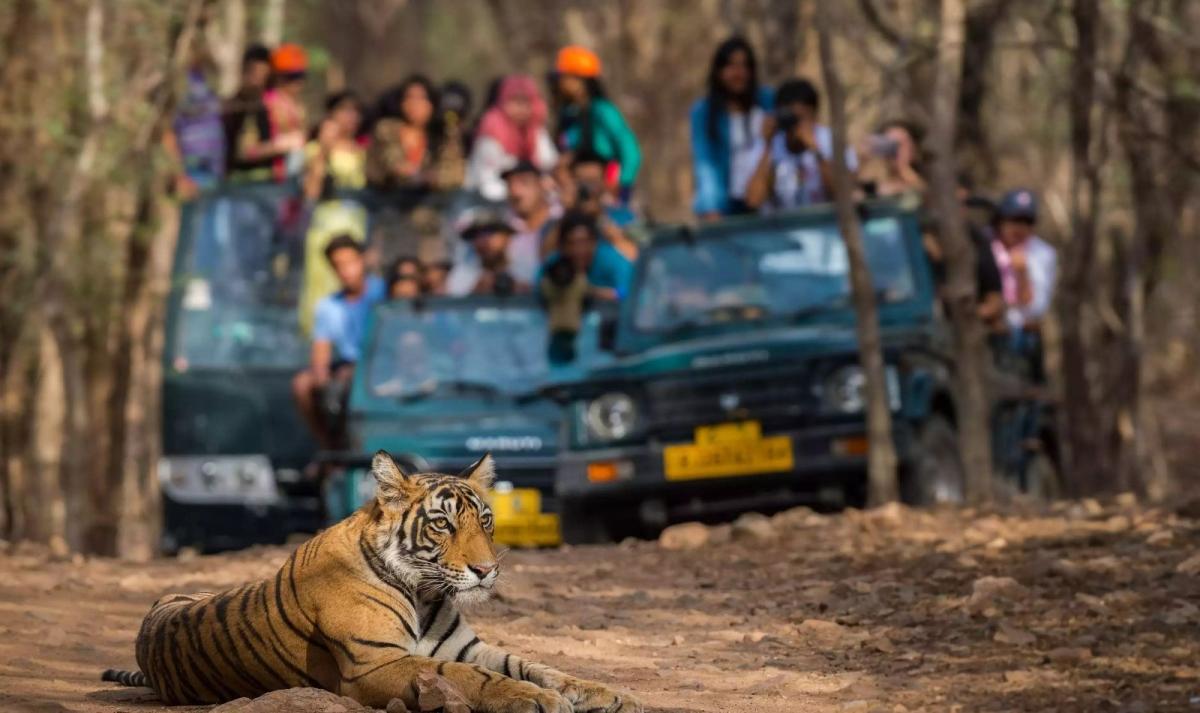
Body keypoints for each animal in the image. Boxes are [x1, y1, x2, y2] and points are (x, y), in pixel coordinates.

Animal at [101, 452, 642, 713]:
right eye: (443, 524)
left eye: (485, 521)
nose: (486, 570)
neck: (425, 593)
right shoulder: (374, 663)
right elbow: (471, 677)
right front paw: (536, 700)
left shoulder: (468, 647)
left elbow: (539, 666)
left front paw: (612, 695)